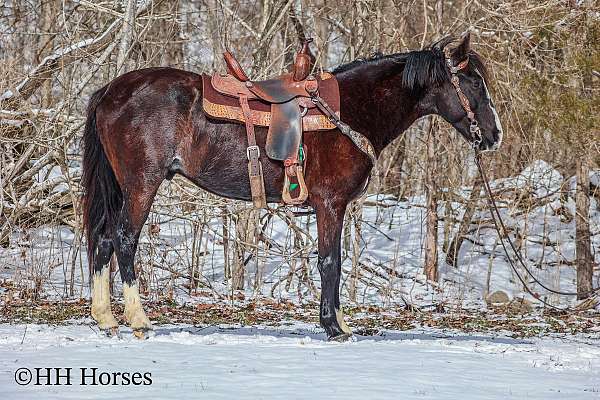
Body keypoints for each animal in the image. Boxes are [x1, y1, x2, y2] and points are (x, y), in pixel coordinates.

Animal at [81, 32, 502, 340]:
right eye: (472, 81)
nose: (494, 135)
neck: (349, 112)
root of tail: (111, 91)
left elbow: (331, 262)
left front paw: (335, 323)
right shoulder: (330, 204)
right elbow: (330, 262)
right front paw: (335, 327)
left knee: (103, 239)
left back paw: (106, 318)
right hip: (142, 184)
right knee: (124, 239)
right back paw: (138, 318)